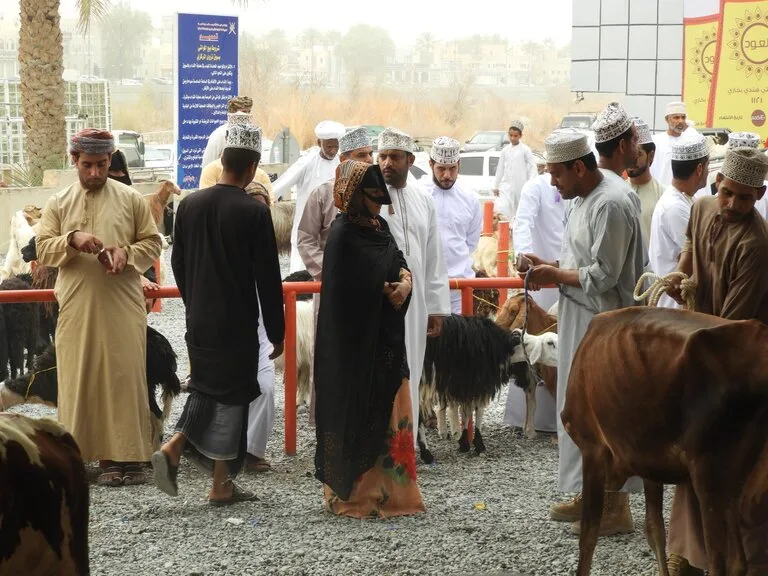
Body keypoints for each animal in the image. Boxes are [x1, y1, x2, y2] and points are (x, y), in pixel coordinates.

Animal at [420, 312, 560, 462]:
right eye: (550, 343)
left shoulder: (469, 383)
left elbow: (468, 410)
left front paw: (464, 441)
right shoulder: (475, 381)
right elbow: (475, 409)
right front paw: (474, 442)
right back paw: (426, 452)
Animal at [560, 308, 768, 576]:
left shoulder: (592, 449)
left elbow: (588, 533)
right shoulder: (647, 462)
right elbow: (655, 528)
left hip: (707, 469)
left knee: (718, 562)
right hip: (734, 474)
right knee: (737, 562)